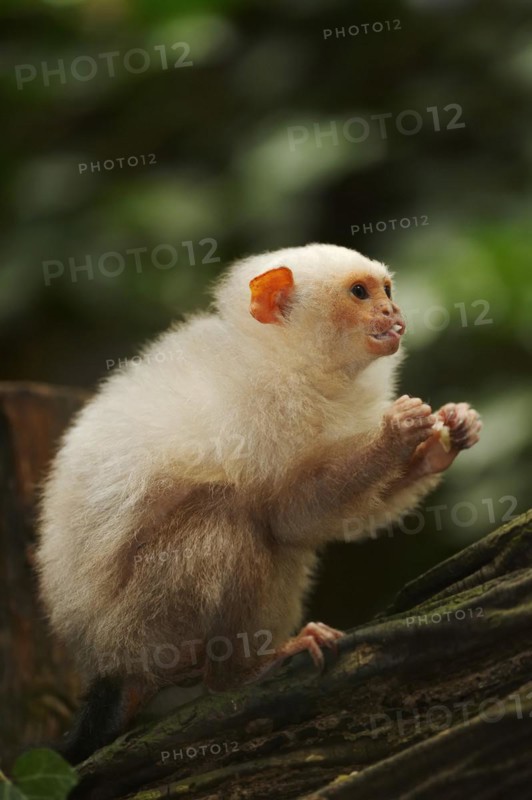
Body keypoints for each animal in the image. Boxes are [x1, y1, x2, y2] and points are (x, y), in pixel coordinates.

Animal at [35, 243, 481, 764]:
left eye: (386, 290)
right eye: (359, 293)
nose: (393, 313)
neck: (293, 362)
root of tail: (108, 665)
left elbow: (315, 526)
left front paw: (445, 441)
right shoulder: (262, 414)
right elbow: (289, 514)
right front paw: (396, 435)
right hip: (146, 627)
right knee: (229, 518)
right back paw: (237, 673)